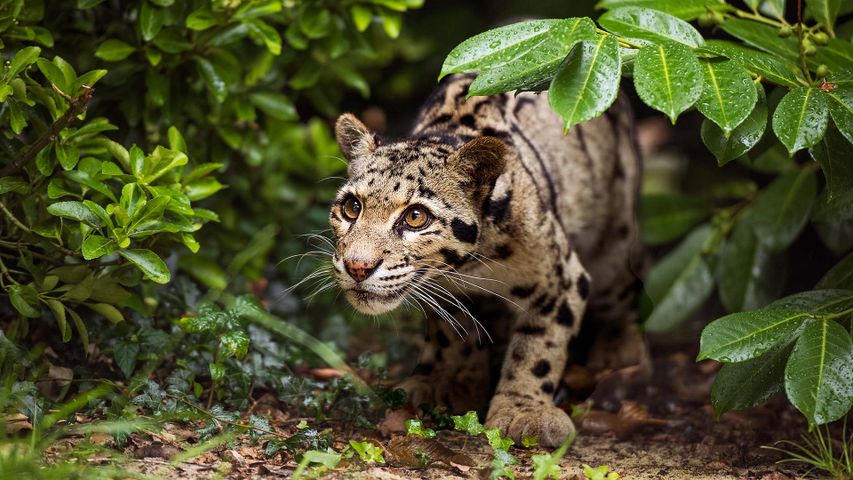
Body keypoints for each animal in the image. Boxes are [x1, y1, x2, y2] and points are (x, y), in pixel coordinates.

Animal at [326, 74, 644, 446]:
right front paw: (455, 383)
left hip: (614, 237)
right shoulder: (446, 293)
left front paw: (525, 410)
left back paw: (619, 348)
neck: (474, 263)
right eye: (351, 207)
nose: (357, 266)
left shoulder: (561, 278)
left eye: (416, 217)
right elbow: (456, 335)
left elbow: (538, 345)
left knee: (620, 285)